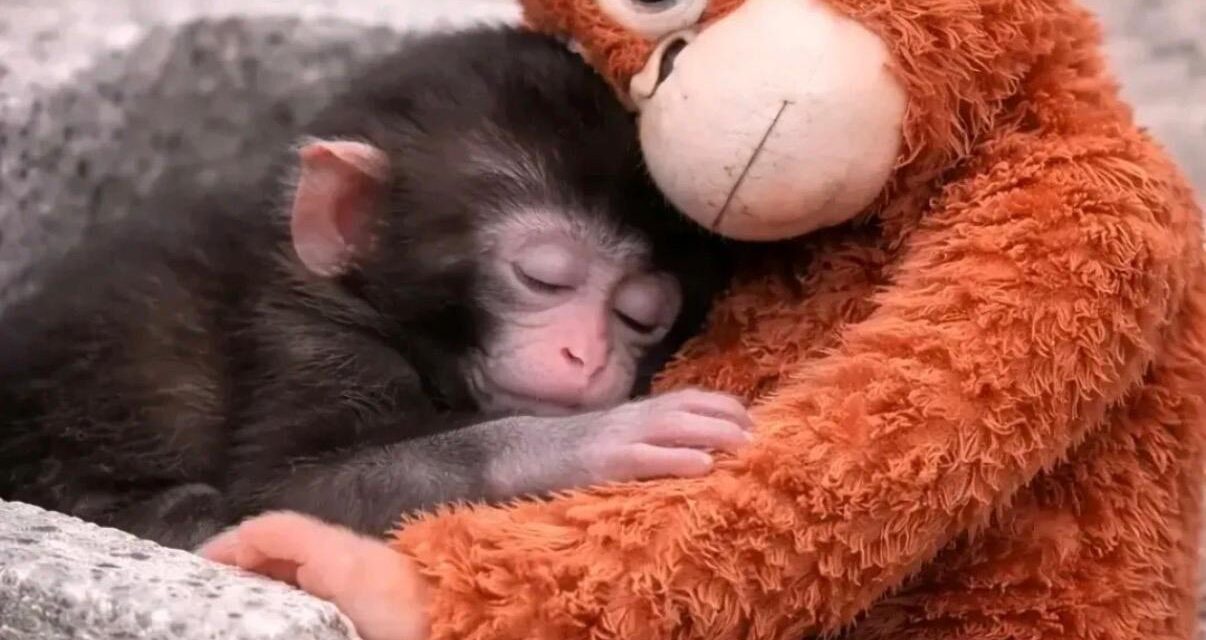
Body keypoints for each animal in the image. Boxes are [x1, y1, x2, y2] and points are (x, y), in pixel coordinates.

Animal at [0, 27, 747, 552]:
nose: (586, 357)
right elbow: (285, 496)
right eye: (543, 277)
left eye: (641, 316)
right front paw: (593, 440)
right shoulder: (304, 340)